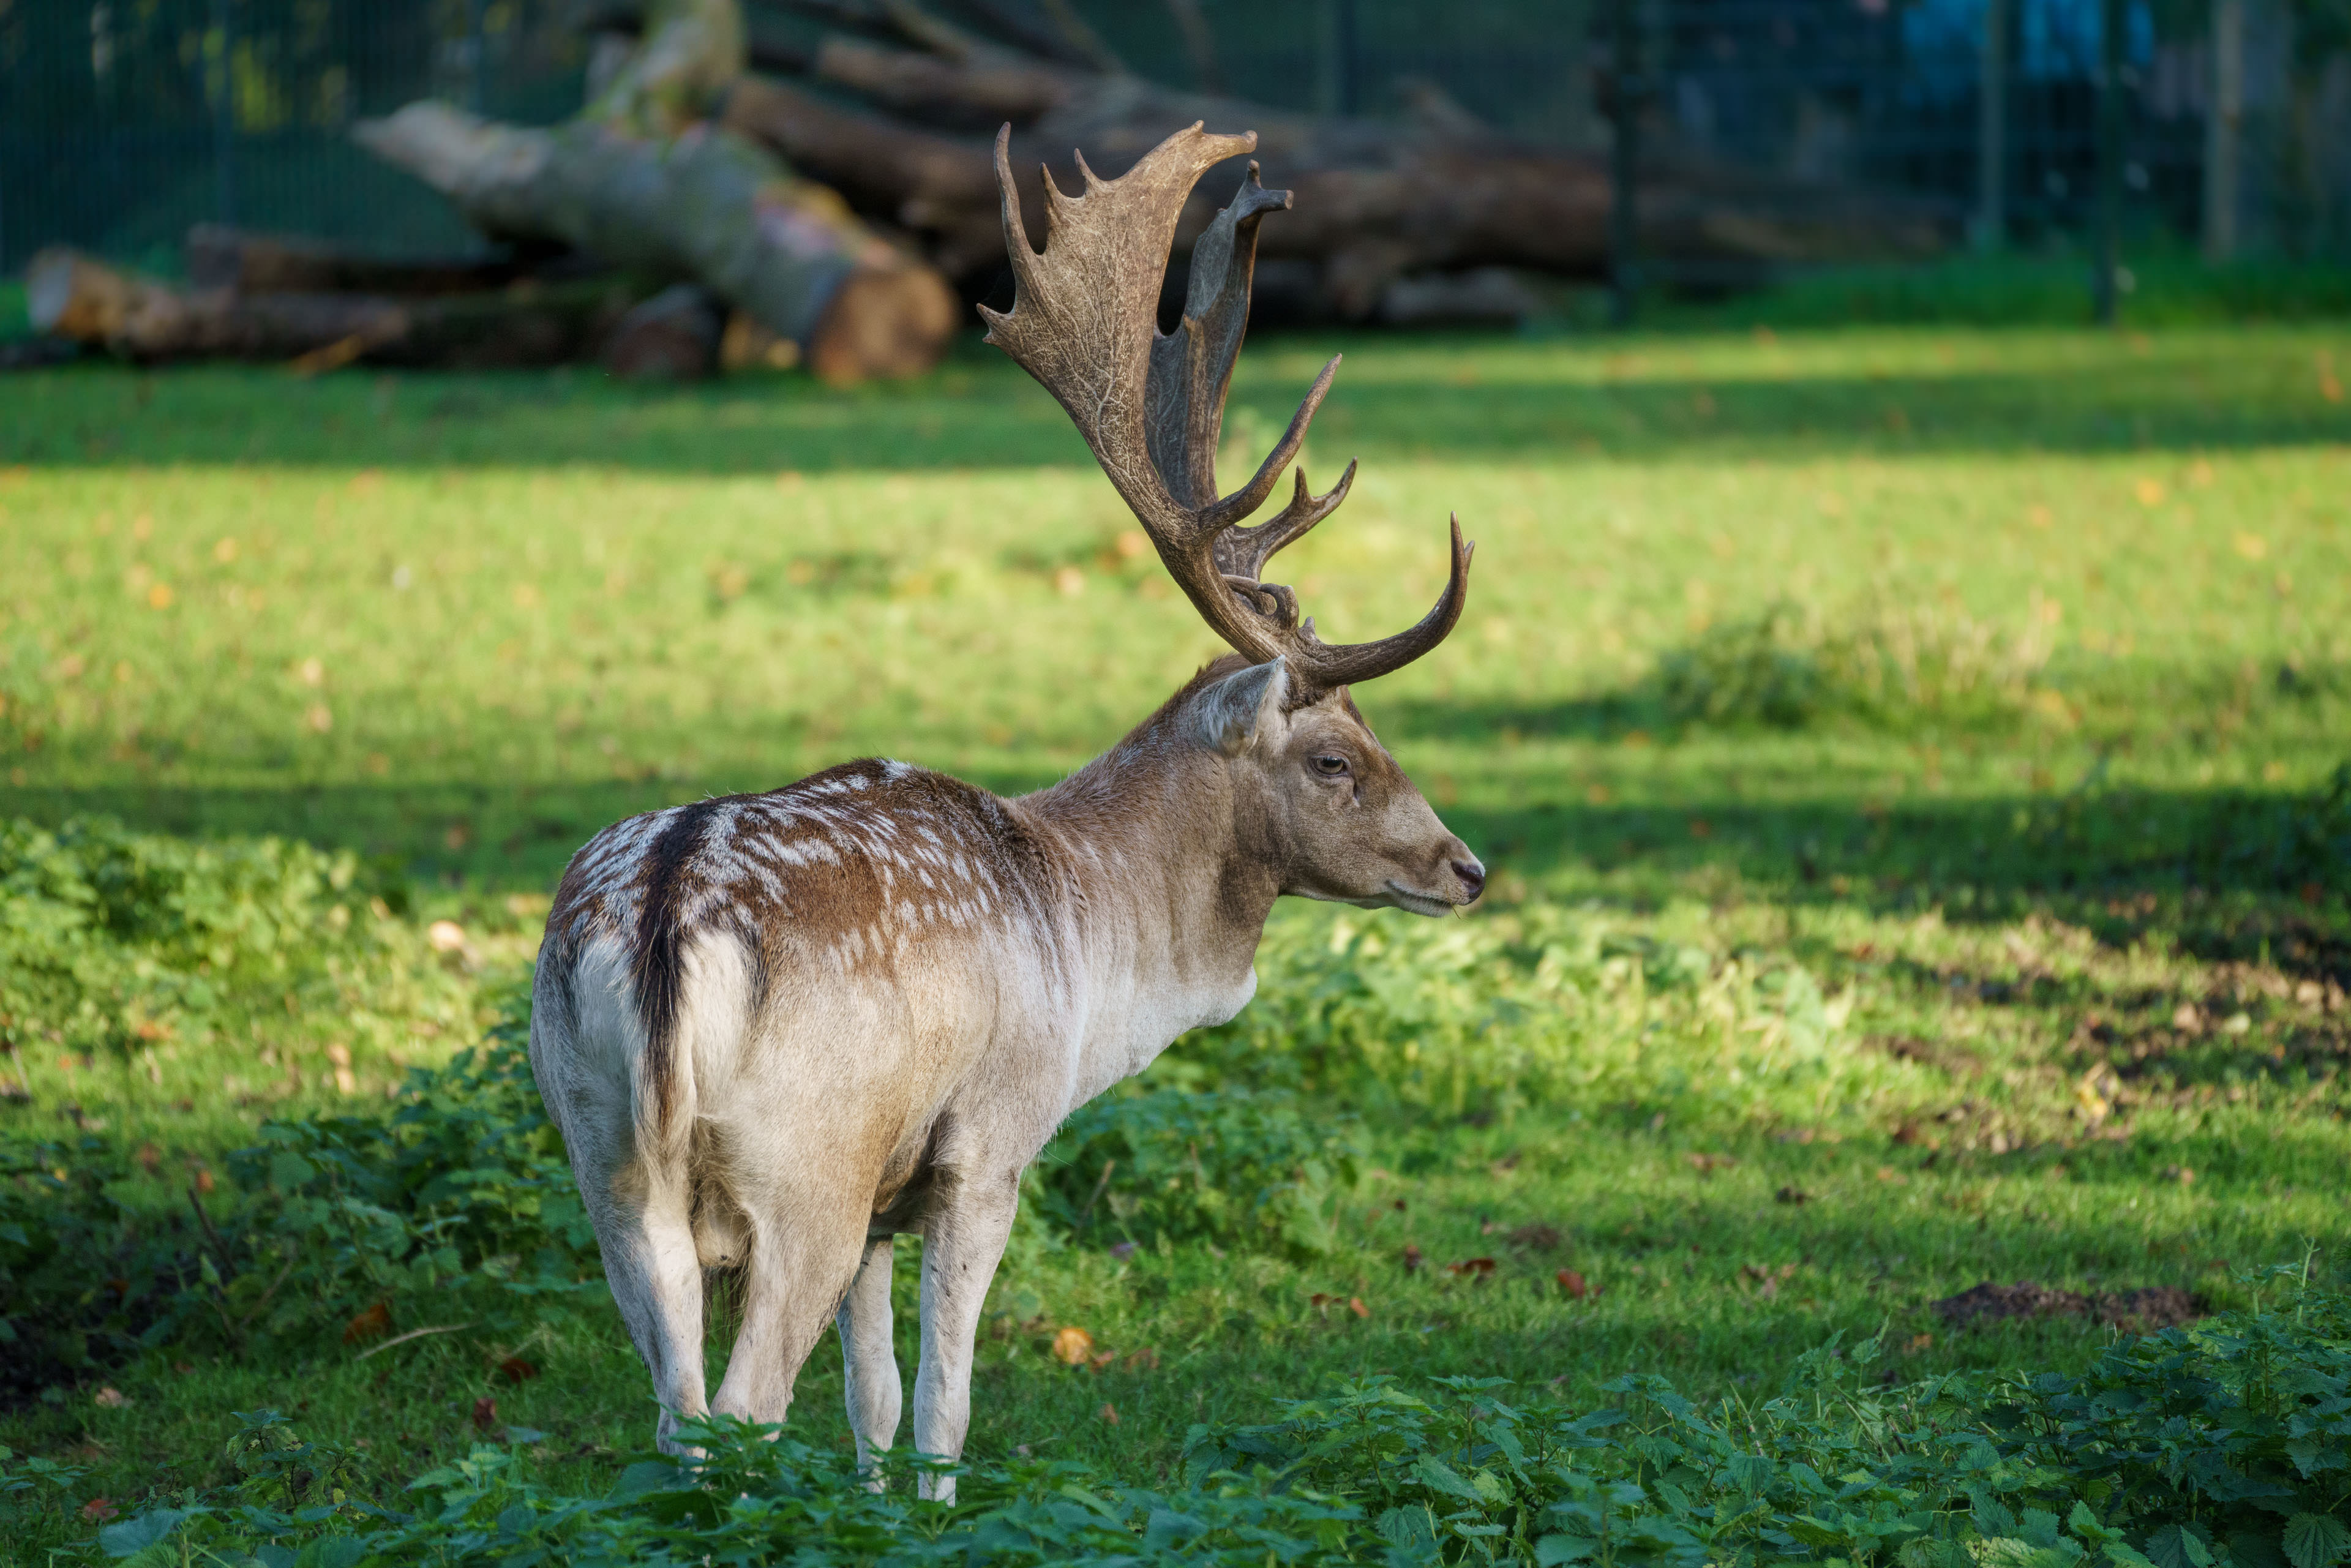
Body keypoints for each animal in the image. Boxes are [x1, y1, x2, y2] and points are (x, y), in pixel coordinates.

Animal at [538, 122, 1467, 1495]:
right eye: (1338, 758)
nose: (1467, 866)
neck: (1096, 959)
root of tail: (658, 923)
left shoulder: (884, 1198)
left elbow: (869, 1400)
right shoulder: (986, 1146)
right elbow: (942, 1402)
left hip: (601, 1156)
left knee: (677, 1414)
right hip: (799, 1165)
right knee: (745, 1405)